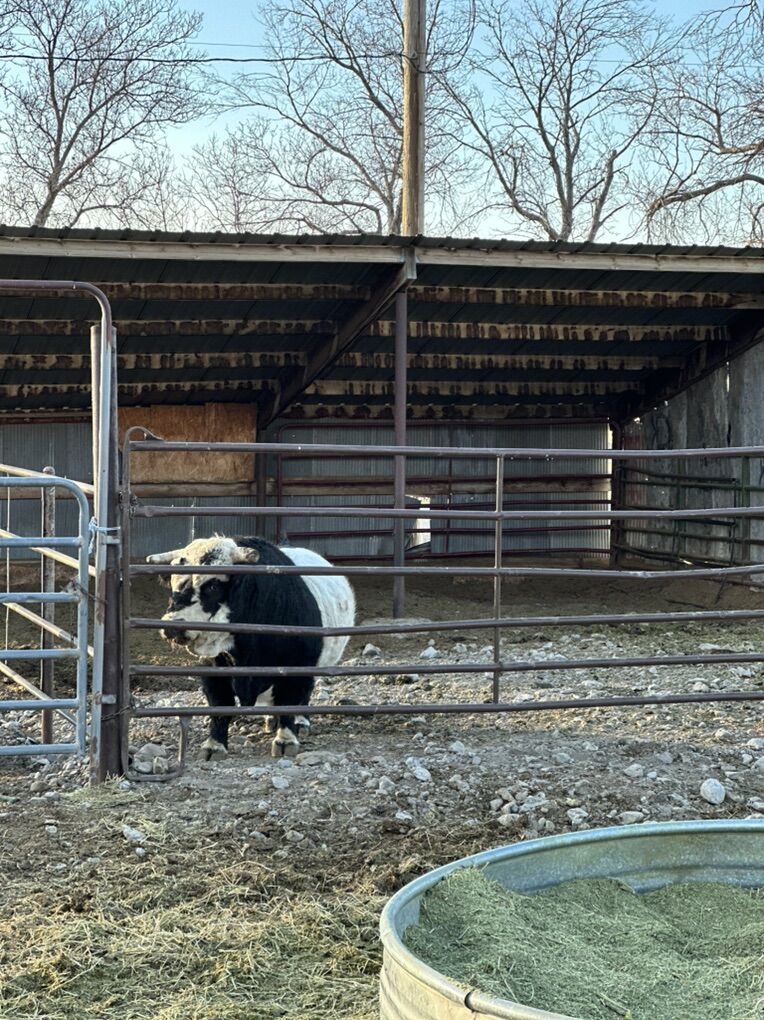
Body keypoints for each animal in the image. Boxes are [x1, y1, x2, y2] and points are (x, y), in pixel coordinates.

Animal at [146, 535, 356, 759]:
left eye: (212, 586)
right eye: (173, 585)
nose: (171, 625)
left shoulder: (299, 667)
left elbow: (289, 702)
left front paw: (286, 739)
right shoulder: (212, 669)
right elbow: (220, 705)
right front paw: (215, 744)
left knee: (304, 695)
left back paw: (300, 722)